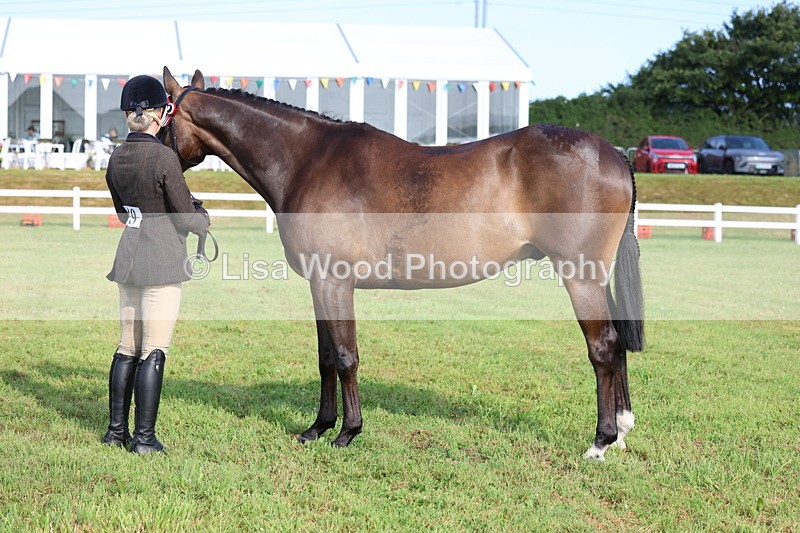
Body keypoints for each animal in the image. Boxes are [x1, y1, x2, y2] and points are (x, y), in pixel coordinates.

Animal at [161, 67, 644, 461]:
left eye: (159, 121)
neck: (307, 161)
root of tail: (615, 155)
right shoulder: (318, 284)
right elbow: (324, 358)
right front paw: (316, 428)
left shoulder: (335, 281)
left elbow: (345, 356)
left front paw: (348, 433)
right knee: (618, 343)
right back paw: (621, 431)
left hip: (580, 276)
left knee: (603, 347)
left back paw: (600, 442)